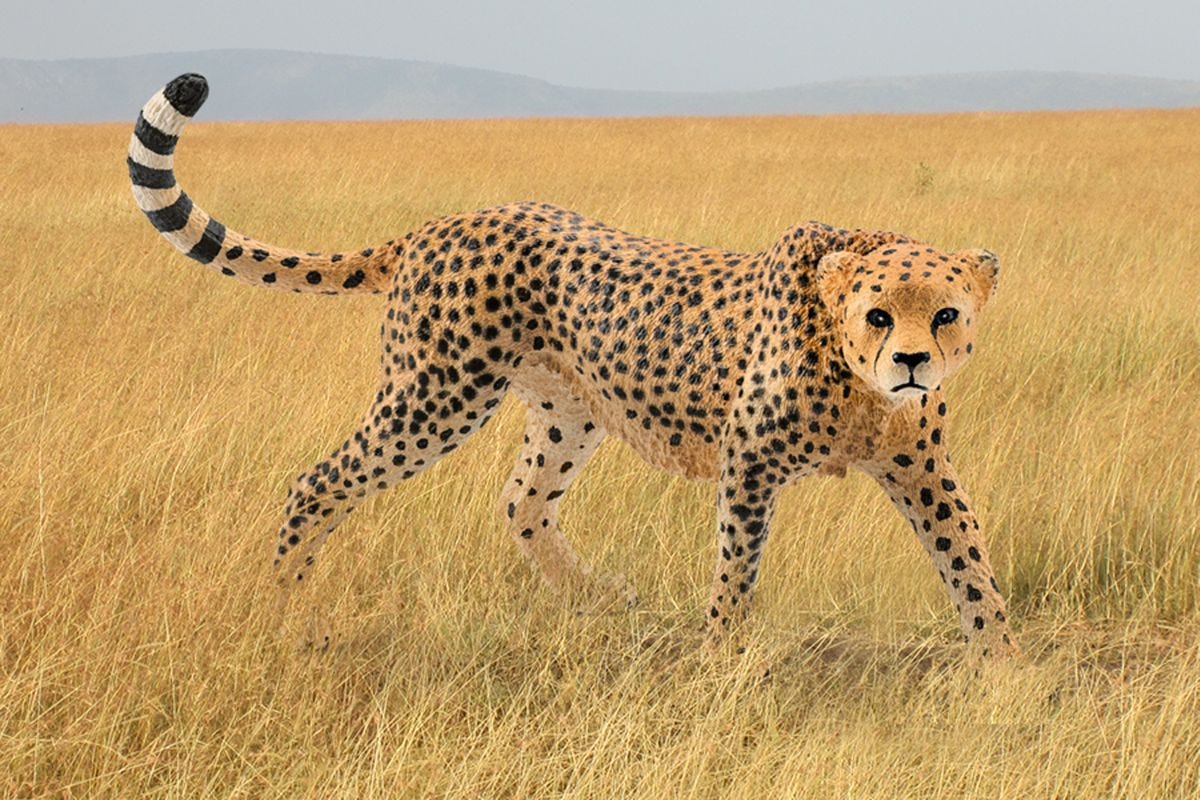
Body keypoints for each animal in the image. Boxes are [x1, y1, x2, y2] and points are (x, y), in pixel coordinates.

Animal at [127, 73, 1019, 661]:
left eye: (946, 313)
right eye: (879, 315)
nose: (912, 361)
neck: (859, 382)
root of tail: (445, 221)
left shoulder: (920, 466)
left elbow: (967, 557)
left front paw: (1003, 665)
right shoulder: (750, 462)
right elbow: (738, 566)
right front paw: (722, 656)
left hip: (567, 409)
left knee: (521, 499)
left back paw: (595, 597)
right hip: (436, 396)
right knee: (319, 480)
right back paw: (286, 603)